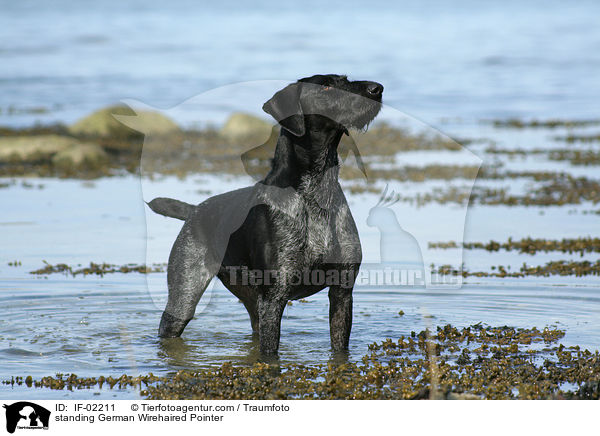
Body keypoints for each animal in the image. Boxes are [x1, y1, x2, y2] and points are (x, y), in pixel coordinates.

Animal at [150, 74, 384, 354]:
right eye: (326, 86)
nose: (377, 89)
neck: (316, 193)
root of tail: (195, 210)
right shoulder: (274, 298)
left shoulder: (342, 291)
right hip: (185, 295)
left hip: (251, 299)